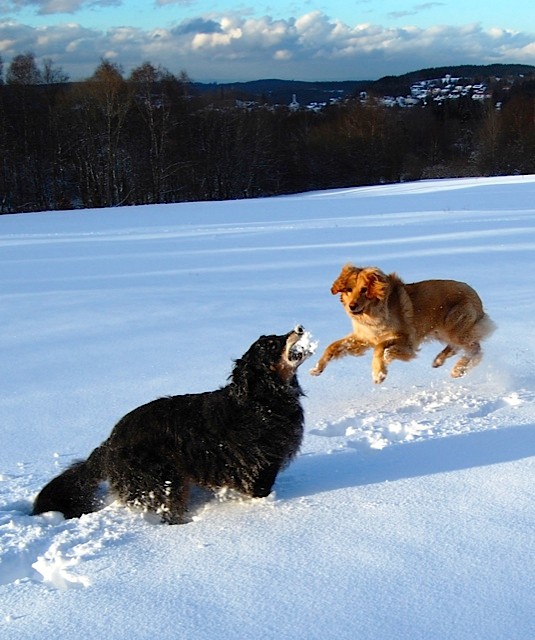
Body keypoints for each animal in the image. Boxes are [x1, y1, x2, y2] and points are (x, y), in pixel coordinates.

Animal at [31, 328, 316, 524]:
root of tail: (110, 443)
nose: (299, 328)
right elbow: (260, 489)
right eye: (271, 344)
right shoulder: (261, 465)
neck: (261, 400)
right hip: (164, 479)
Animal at [312, 262, 496, 382]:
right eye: (349, 289)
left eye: (364, 289)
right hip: (441, 330)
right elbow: (333, 346)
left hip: (453, 326)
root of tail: (475, 294)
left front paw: (379, 372)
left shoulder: (405, 337)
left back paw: (458, 368)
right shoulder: (364, 337)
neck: (372, 313)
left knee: (474, 348)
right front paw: (317, 368)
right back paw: (439, 360)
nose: (352, 306)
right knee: (459, 346)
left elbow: (381, 348)